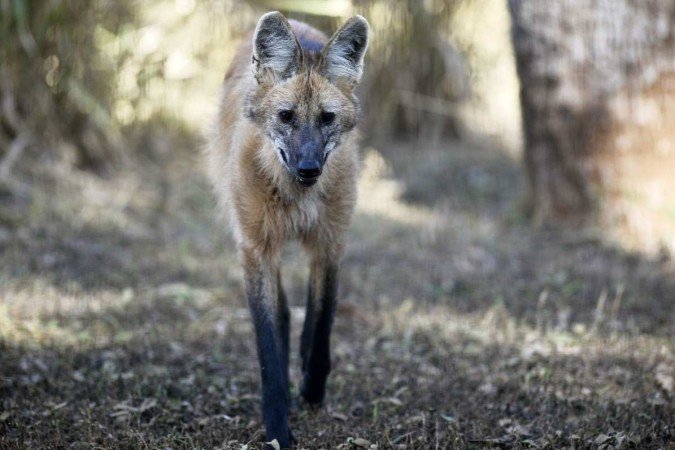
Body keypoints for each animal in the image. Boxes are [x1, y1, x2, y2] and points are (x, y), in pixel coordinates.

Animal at [206, 11, 369, 448]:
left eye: (327, 118)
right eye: (286, 116)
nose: (309, 168)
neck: (297, 198)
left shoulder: (330, 241)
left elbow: (323, 315)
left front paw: (312, 386)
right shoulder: (255, 248)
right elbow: (266, 341)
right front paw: (278, 426)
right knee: (280, 311)